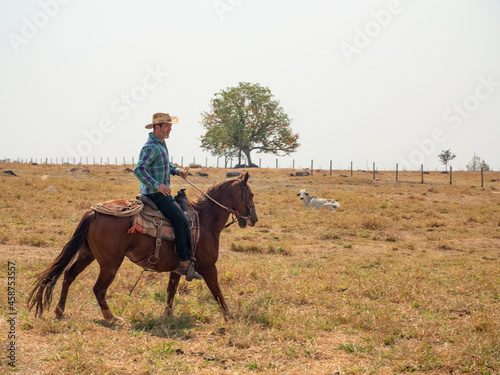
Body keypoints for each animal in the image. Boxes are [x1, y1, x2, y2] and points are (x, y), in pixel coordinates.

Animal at [28, 173, 258, 324]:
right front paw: (229, 316)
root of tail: (93, 212)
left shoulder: (179, 267)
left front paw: (168, 316)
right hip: (110, 263)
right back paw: (111, 317)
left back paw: (59, 310)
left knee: (68, 275)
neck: (205, 220)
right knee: (98, 288)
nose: (254, 219)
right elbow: (217, 292)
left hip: (87, 254)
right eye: (251, 194)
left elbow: (171, 291)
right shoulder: (209, 267)